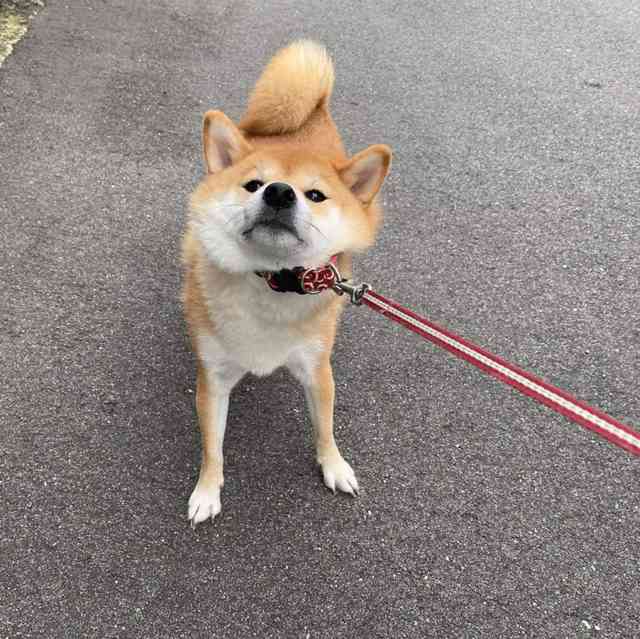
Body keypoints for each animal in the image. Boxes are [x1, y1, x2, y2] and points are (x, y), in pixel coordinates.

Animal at [182, 40, 392, 526]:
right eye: (252, 184)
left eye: (315, 195)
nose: (279, 191)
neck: (271, 280)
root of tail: (310, 112)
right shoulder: (213, 378)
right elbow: (212, 447)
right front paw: (207, 490)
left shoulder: (317, 369)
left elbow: (325, 427)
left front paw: (334, 465)